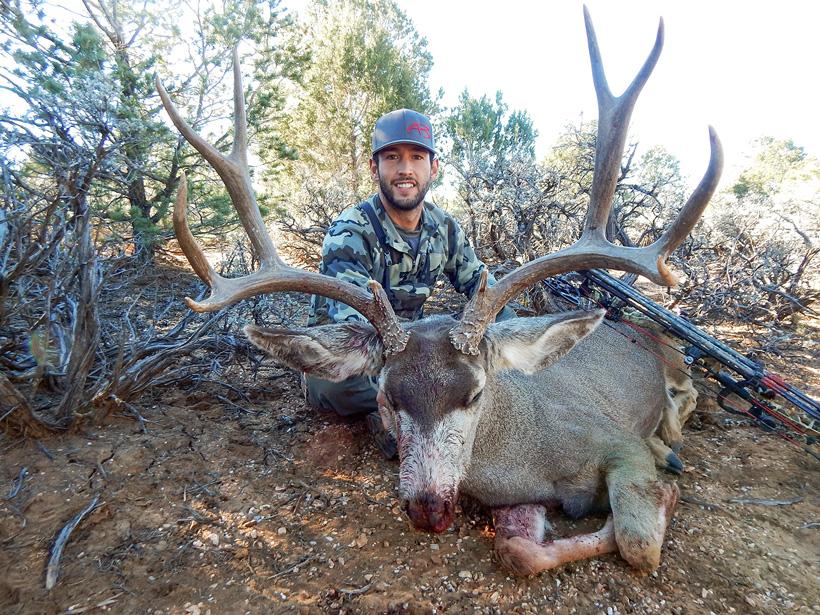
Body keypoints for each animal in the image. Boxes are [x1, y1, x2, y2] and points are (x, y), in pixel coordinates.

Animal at [156, 7, 722, 575]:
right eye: (386, 397)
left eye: (474, 394)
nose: (428, 509)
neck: (526, 455)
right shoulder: (519, 498)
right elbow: (519, 551)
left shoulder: (617, 440)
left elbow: (639, 542)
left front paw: (666, 489)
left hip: (673, 365)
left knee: (688, 394)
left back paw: (671, 440)